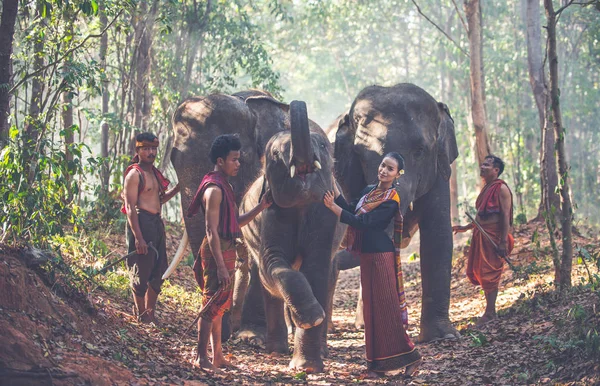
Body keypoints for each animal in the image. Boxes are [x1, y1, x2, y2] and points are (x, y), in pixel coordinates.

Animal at [238, 101, 344, 372]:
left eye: (323, 146)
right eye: (275, 154)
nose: (297, 104)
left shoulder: (326, 214)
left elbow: (316, 269)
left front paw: (308, 367)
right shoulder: (271, 209)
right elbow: (272, 264)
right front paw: (311, 316)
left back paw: (320, 350)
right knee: (267, 282)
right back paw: (276, 350)